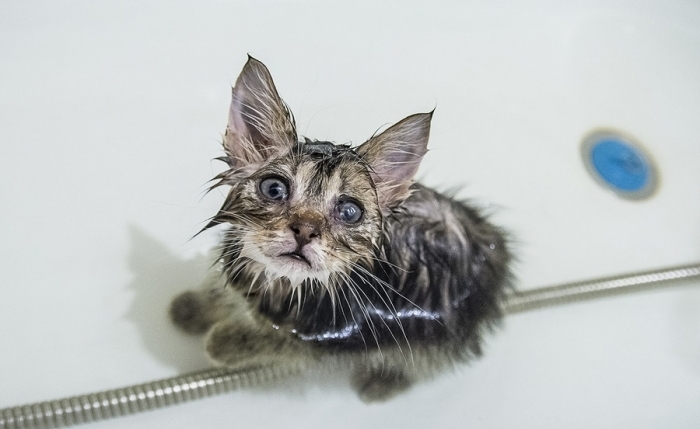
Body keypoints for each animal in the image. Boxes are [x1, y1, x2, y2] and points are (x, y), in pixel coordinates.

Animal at [169, 56, 513, 403]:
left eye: (349, 212)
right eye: (274, 189)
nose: (305, 230)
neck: (284, 282)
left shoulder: (336, 334)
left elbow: (280, 342)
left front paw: (224, 342)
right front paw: (194, 307)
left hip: (438, 331)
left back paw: (382, 384)